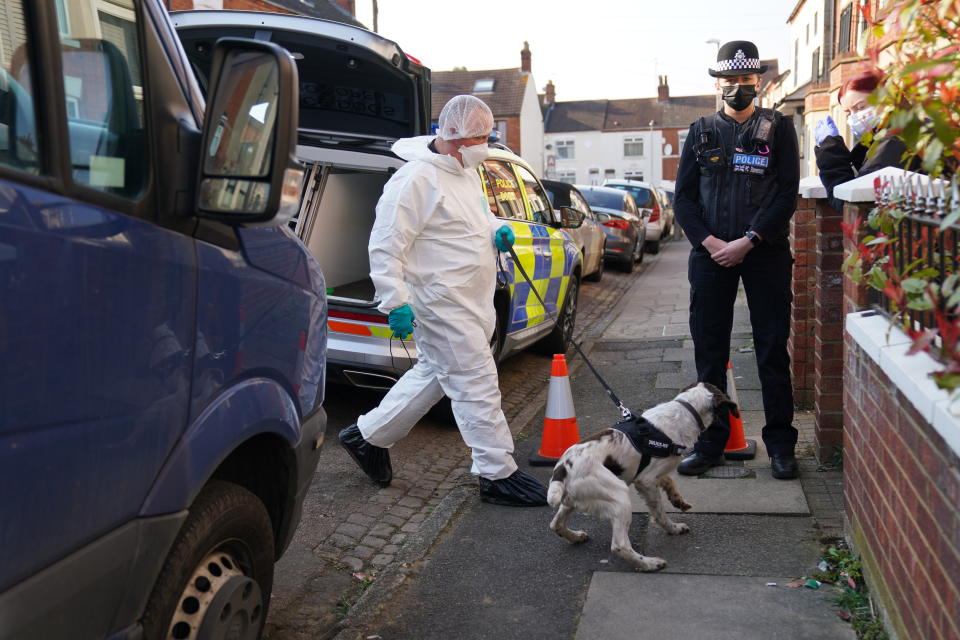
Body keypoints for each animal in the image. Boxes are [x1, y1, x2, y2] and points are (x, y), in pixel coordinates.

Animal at [544, 382, 740, 572]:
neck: (683, 411)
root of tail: (562, 468)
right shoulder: (646, 481)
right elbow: (659, 511)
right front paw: (673, 528)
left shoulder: (651, 474)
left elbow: (669, 481)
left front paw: (678, 501)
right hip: (619, 497)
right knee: (620, 546)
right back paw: (650, 563)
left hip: (571, 500)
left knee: (556, 525)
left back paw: (576, 537)